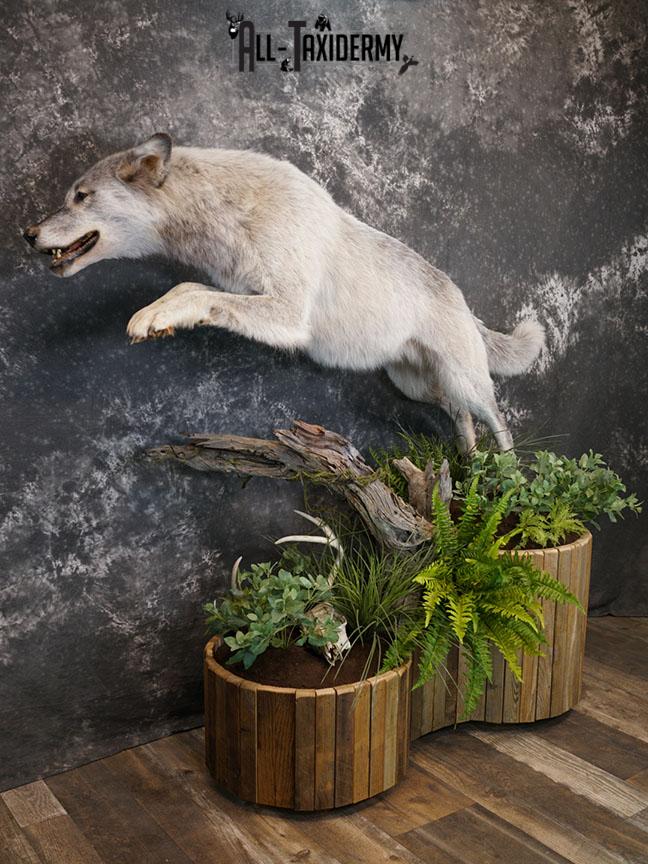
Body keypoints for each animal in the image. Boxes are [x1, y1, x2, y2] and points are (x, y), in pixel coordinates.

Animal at [23, 133, 544, 451]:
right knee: (462, 418)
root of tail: (462, 299)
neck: (225, 214)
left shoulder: (288, 315)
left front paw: (155, 316)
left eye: (80, 197)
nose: (27, 234)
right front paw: (160, 316)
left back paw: (503, 482)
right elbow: (192, 286)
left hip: (464, 381)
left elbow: (190, 289)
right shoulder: (239, 289)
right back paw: (467, 464)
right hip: (417, 386)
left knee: (498, 422)